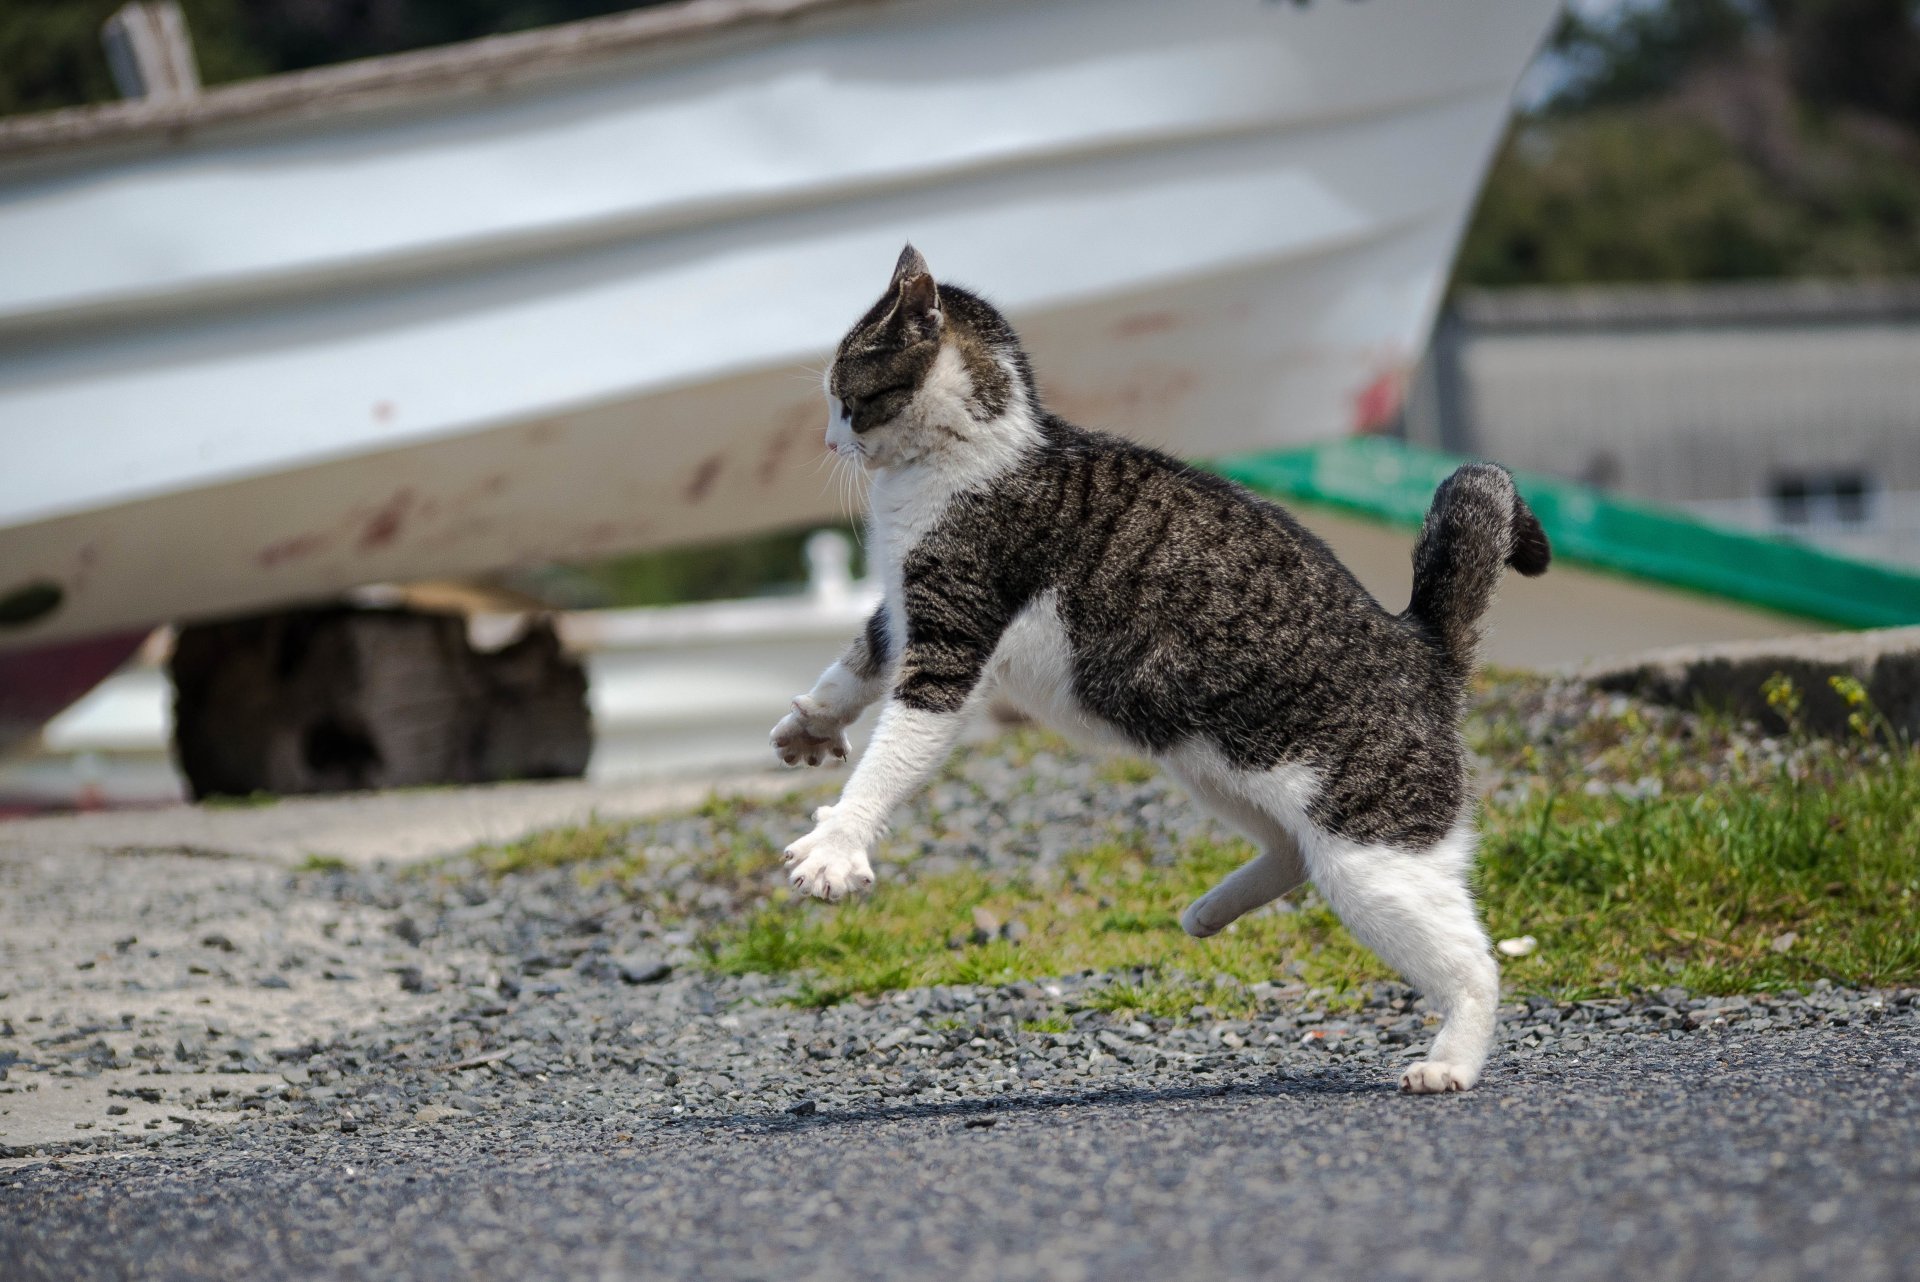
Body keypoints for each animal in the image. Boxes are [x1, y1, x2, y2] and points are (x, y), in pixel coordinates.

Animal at [764, 242, 1543, 1090]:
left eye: (844, 396)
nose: (829, 442)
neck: (979, 450)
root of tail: (1424, 646)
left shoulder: (950, 639)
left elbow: (892, 755)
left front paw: (839, 843)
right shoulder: (904, 613)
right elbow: (857, 661)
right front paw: (811, 723)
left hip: (1374, 857)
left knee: (1475, 965)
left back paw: (1450, 1062)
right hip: (1214, 767)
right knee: (1291, 853)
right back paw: (1211, 910)